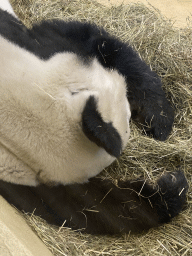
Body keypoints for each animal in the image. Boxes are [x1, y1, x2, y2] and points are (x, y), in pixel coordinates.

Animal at [0, 1, 188, 235]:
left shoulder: (36, 45)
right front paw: (170, 189)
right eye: (127, 119)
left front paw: (158, 120)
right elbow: (89, 208)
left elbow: (93, 41)